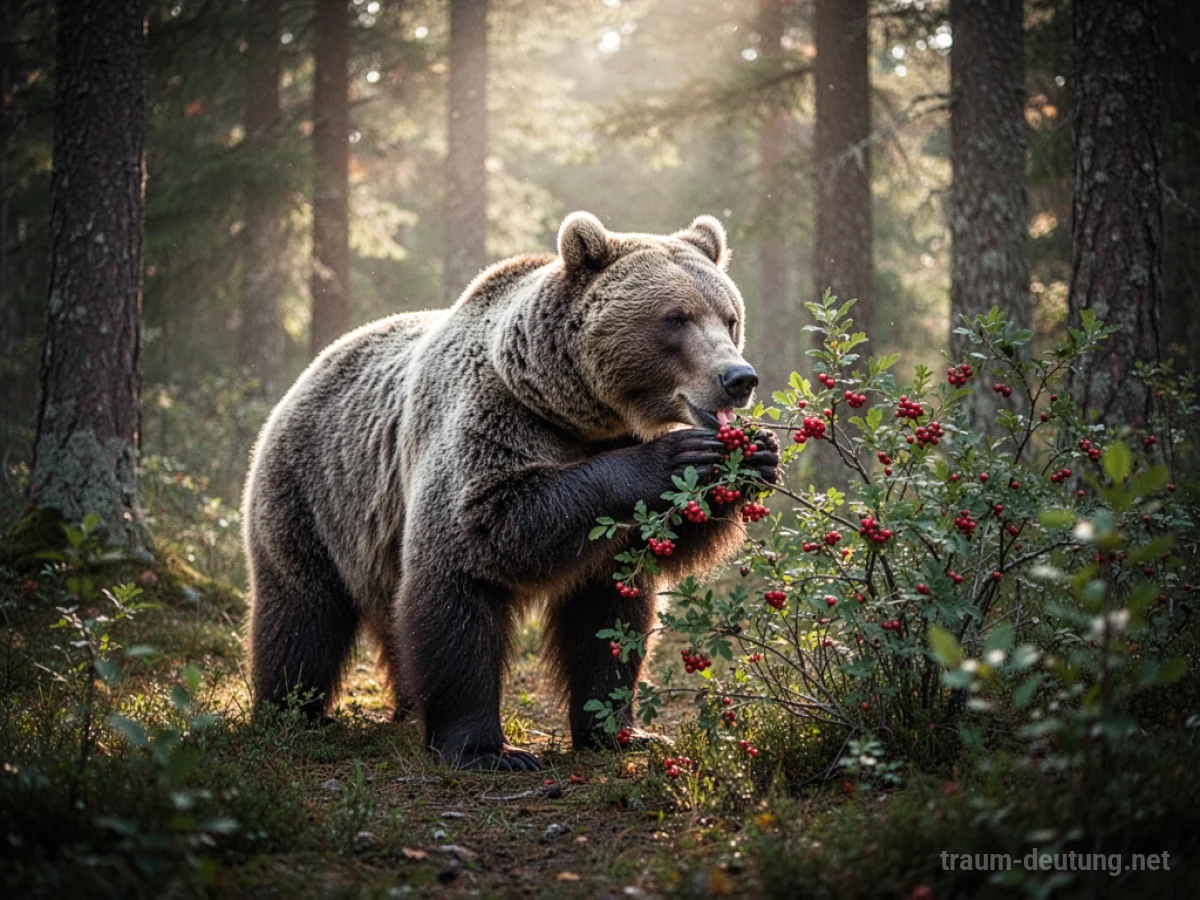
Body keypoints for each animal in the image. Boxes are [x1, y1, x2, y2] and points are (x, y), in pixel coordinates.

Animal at [243, 212, 780, 770]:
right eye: (676, 318)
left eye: (729, 318)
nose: (738, 377)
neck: (575, 411)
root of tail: (314, 367)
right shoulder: (490, 423)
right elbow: (481, 539)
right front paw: (486, 750)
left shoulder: (617, 521)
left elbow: (613, 613)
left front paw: (755, 455)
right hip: (313, 494)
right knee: (303, 612)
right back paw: (294, 710)